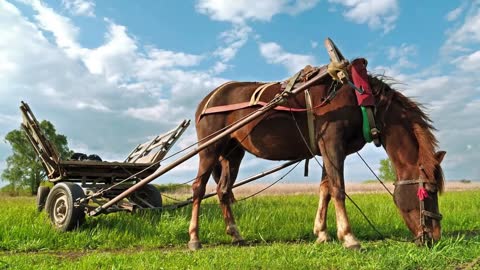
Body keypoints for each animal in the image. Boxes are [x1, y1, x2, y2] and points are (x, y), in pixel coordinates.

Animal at [188, 58, 446, 250]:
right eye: (428, 192)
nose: (434, 237)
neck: (360, 99)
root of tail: (207, 99)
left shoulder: (329, 150)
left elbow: (326, 189)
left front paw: (322, 233)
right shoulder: (332, 143)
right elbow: (338, 189)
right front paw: (349, 237)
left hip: (233, 154)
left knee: (223, 191)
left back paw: (236, 235)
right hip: (209, 149)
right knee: (199, 189)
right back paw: (194, 238)